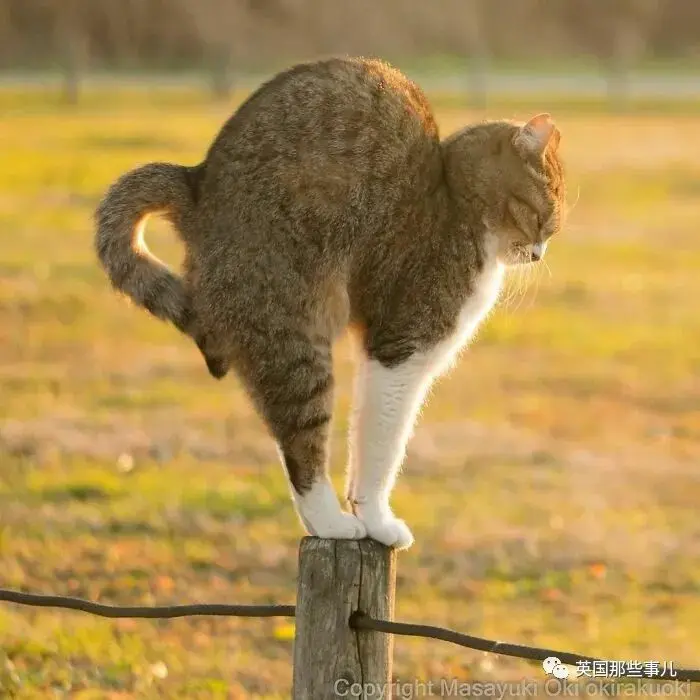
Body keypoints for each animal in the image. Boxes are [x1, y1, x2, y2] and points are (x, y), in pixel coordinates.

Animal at [94, 56, 564, 548]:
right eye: (545, 217)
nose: (539, 253)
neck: (456, 200)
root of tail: (196, 181)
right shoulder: (400, 348)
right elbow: (384, 441)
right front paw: (376, 519)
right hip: (292, 338)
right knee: (302, 452)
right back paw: (332, 522)